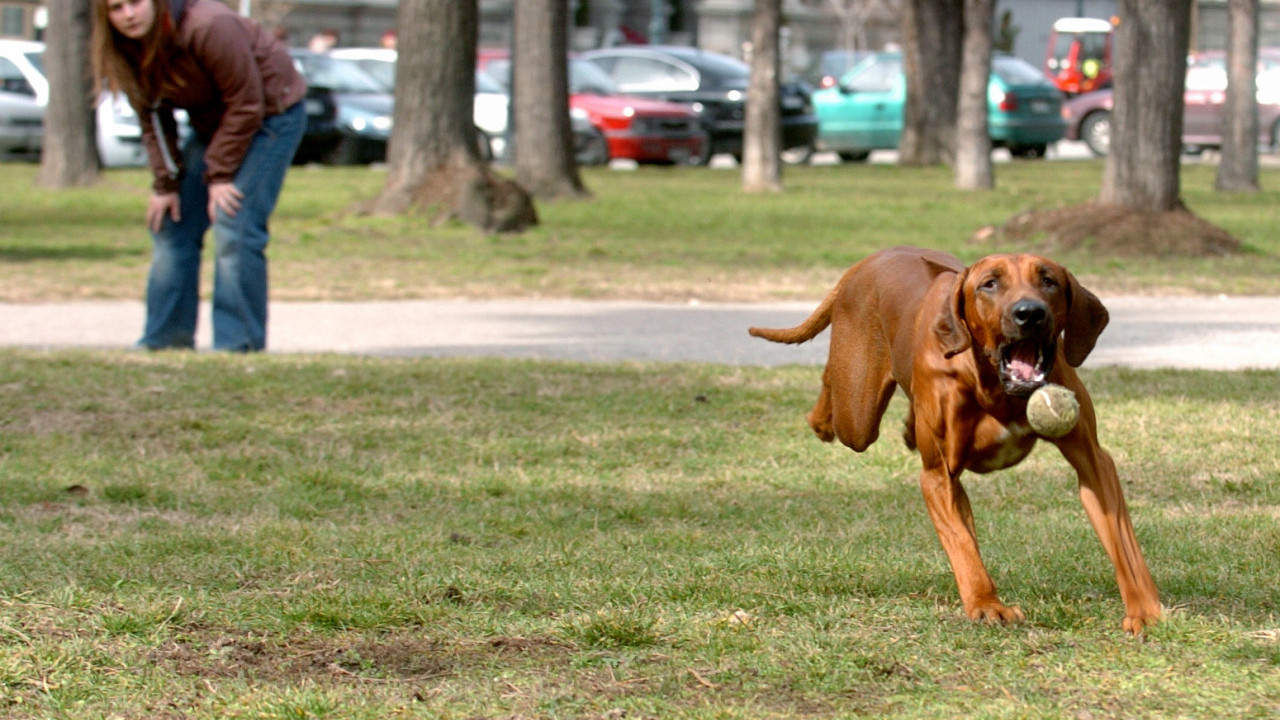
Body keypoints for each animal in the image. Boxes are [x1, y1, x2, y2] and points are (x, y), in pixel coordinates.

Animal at [747, 243, 1162, 630]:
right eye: (989, 284)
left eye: (1049, 281)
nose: (1030, 313)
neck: (994, 383)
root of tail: (868, 260)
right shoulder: (938, 476)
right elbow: (962, 545)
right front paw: (988, 605)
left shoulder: (1093, 460)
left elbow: (1123, 541)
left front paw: (1143, 609)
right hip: (857, 410)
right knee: (835, 389)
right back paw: (820, 419)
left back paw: (908, 426)